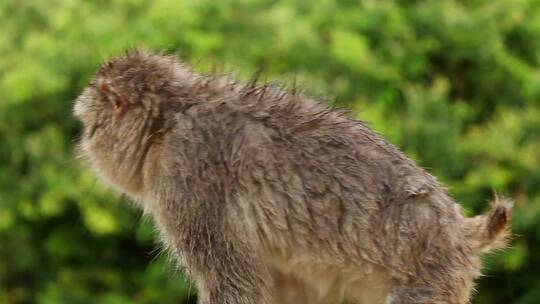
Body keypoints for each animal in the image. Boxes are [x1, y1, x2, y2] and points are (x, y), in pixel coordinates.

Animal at [74, 50, 512, 304]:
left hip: (427, 276)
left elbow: (236, 287)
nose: (85, 142)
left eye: (90, 125)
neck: (168, 123)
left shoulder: (189, 179)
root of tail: (459, 228)